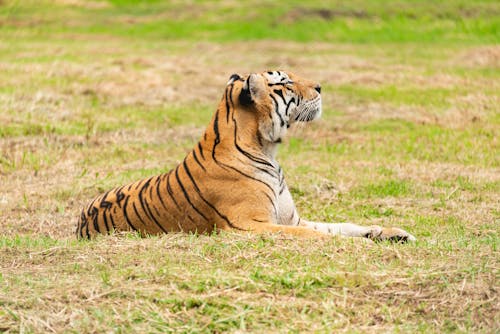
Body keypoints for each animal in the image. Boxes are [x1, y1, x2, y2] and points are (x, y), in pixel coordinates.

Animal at [76, 70, 416, 243]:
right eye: (284, 82)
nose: (320, 86)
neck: (267, 148)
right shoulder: (248, 224)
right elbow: (318, 235)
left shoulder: (292, 217)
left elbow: (341, 225)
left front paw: (393, 233)